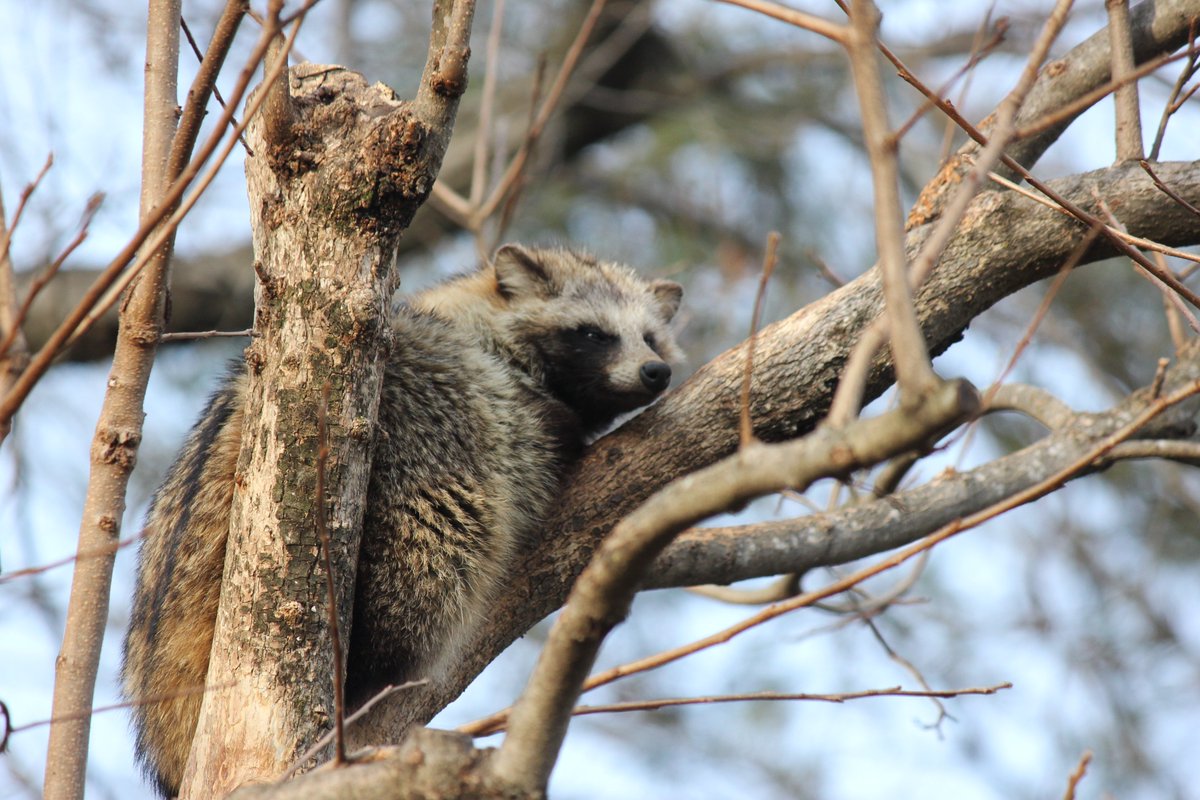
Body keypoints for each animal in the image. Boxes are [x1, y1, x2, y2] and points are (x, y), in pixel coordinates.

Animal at [124, 244, 686, 796]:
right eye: (594, 334)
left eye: (651, 338)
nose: (656, 371)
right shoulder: (487, 382)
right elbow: (527, 427)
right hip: (417, 442)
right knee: (433, 556)